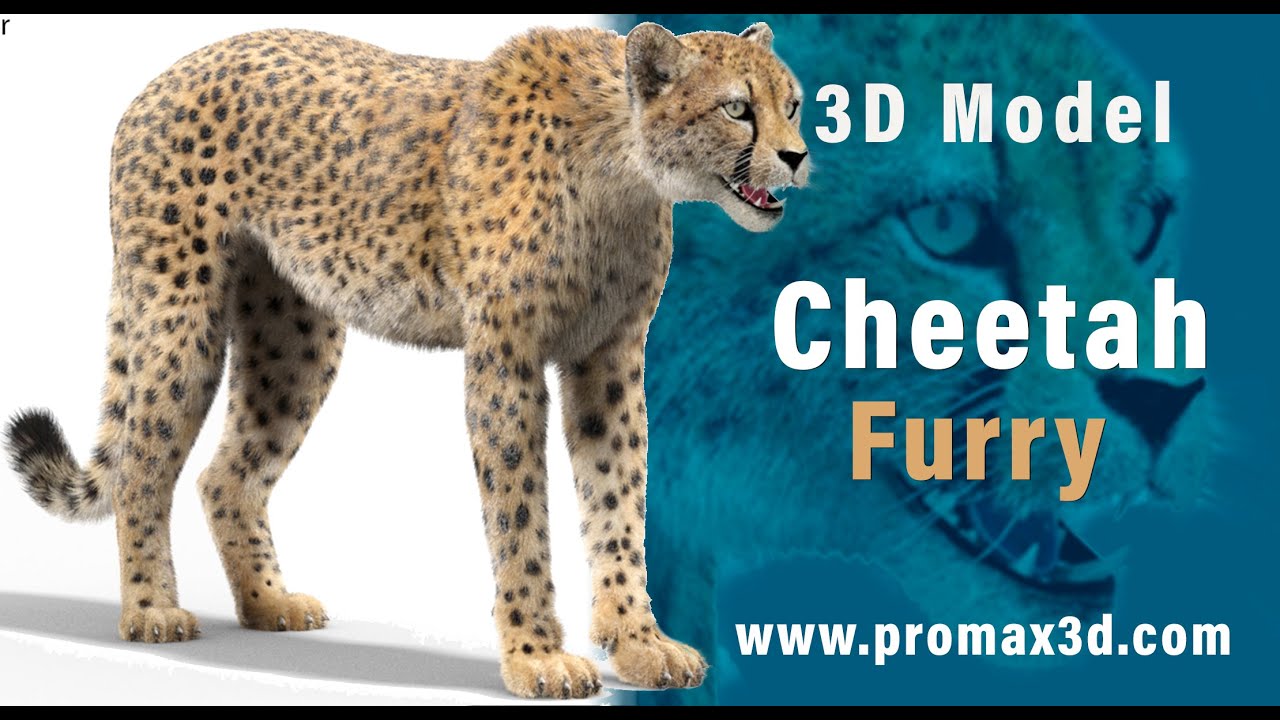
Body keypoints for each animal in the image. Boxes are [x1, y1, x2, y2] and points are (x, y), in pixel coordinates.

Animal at [2, 21, 808, 700]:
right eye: (738, 109)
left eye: (793, 104)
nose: (798, 157)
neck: (625, 168)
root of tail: (163, 77)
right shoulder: (504, 358)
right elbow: (519, 511)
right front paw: (538, 655)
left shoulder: (608, 360)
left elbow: (619, 503)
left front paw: (640, 641)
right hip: (181, 312)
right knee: (142, 464)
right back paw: (152, 612)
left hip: (296, 337)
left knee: (225, 473)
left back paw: (268, 602)